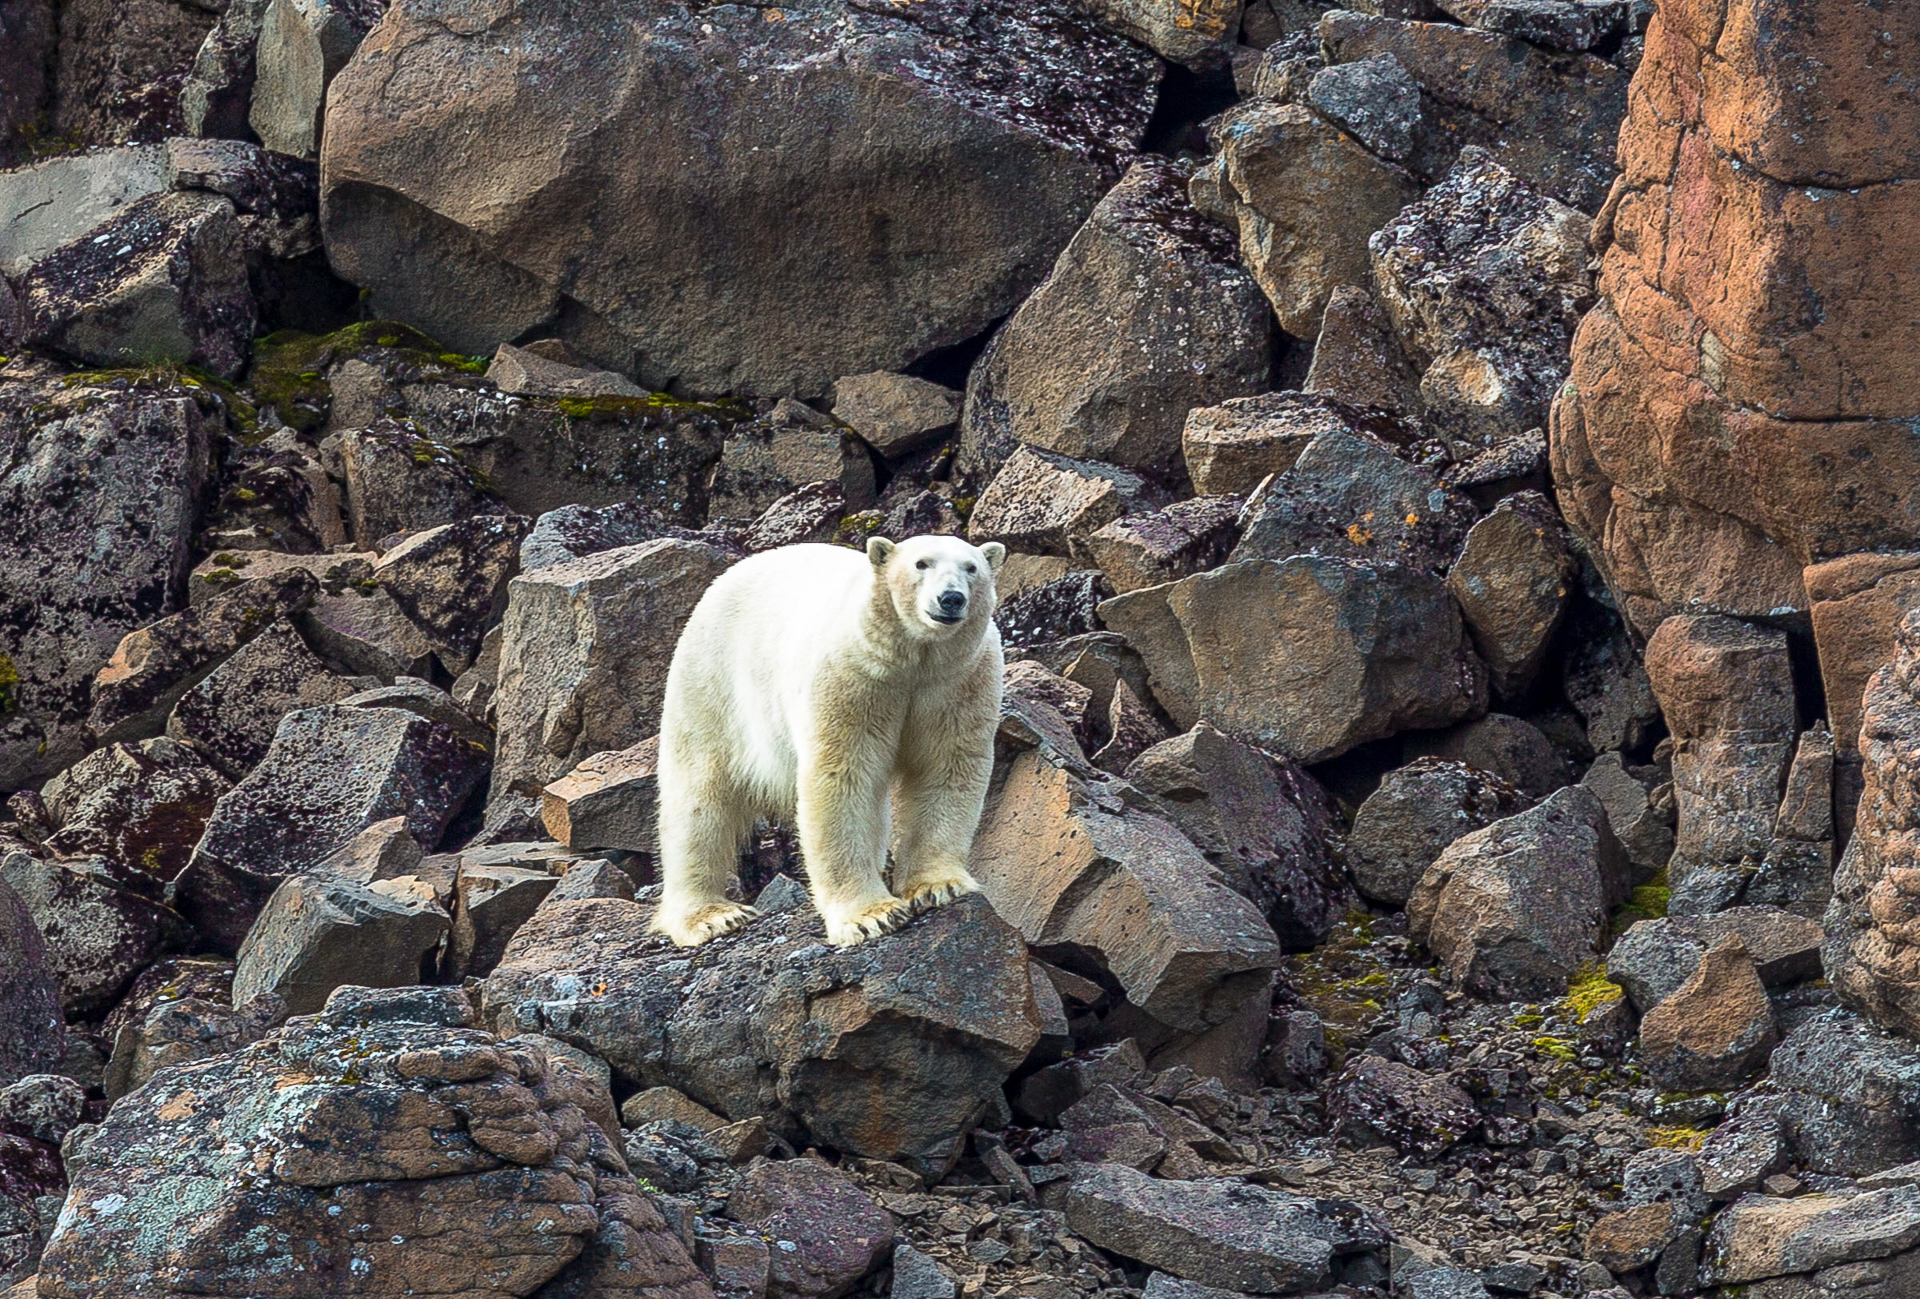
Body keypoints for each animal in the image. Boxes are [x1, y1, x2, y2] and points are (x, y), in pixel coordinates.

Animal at [648, 533, 1006, 947]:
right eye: (921, 563)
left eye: (971, 568)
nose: (951, 598)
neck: (912, 660)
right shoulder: (851, 676)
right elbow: (842, 778)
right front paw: (871, 916)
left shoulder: (959, 681)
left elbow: (946, 767)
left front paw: (937, 886)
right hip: (711, 686)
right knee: (698, 798)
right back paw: (711, 915)